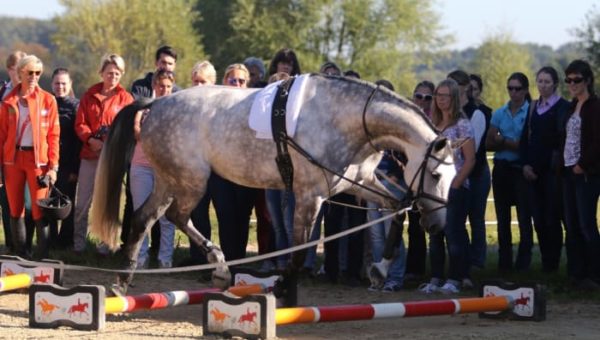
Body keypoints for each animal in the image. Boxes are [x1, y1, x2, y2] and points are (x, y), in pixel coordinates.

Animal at [89, 74, 454, 294]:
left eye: (452, 179)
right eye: (435, 175)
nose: (438, 225)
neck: (348, 120)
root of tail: (156, 104)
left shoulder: (356, 183)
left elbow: (397, 208)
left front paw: (380, 268)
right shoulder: (310, 196)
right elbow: (299, 249)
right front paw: (282, 288)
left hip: (169, 179)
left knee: (145, 218)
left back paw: (124, 282)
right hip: (191, 180)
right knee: (174, 216)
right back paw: (218, 267)